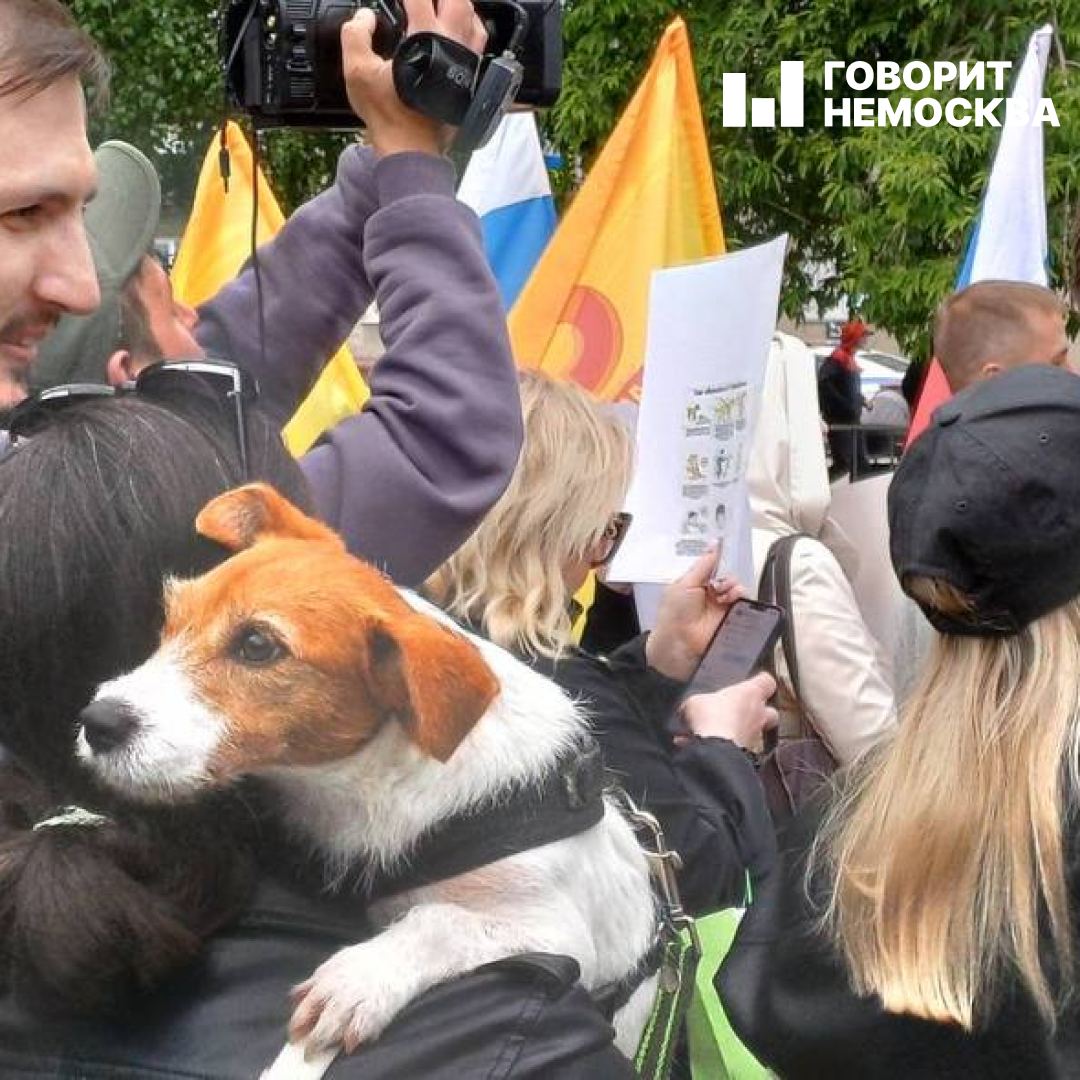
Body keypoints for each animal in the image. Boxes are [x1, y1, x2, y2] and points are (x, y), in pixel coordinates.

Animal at [76, 486, 656, 1067]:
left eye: (257, 645)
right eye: (171, 620)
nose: (97, 723)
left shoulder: (557, 934)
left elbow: (440, 920)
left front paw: (358, 982)